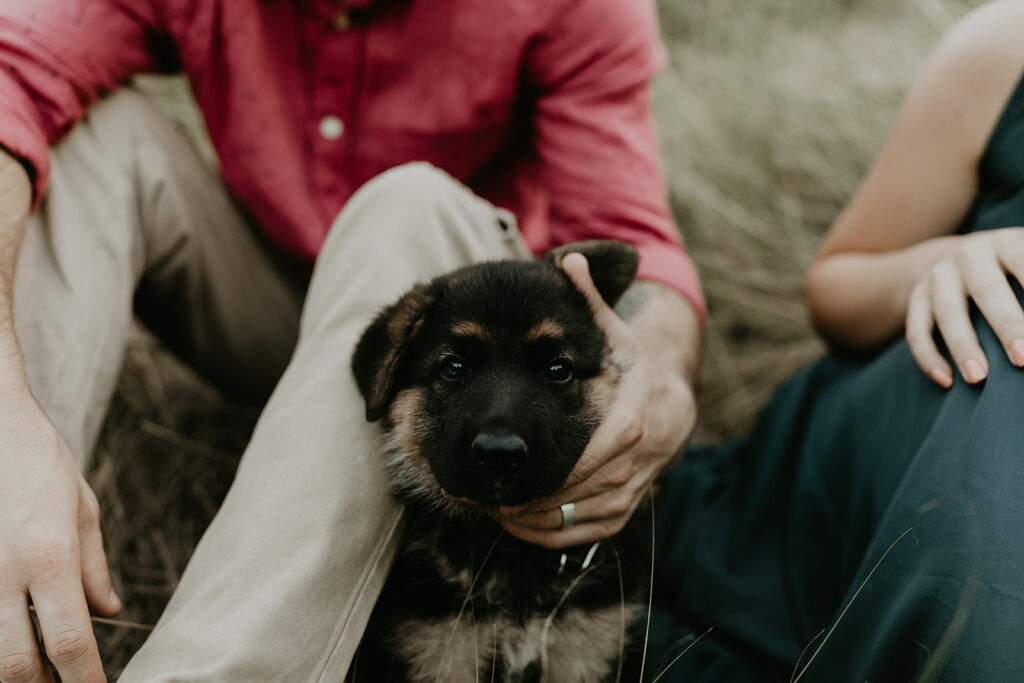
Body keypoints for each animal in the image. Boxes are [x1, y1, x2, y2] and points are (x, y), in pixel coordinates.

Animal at [352, 240, 647, 683]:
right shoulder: (439, 654)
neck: (510, 552)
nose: (498, 454)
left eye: (558, 369)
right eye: (453, 367)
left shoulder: (585, 653)